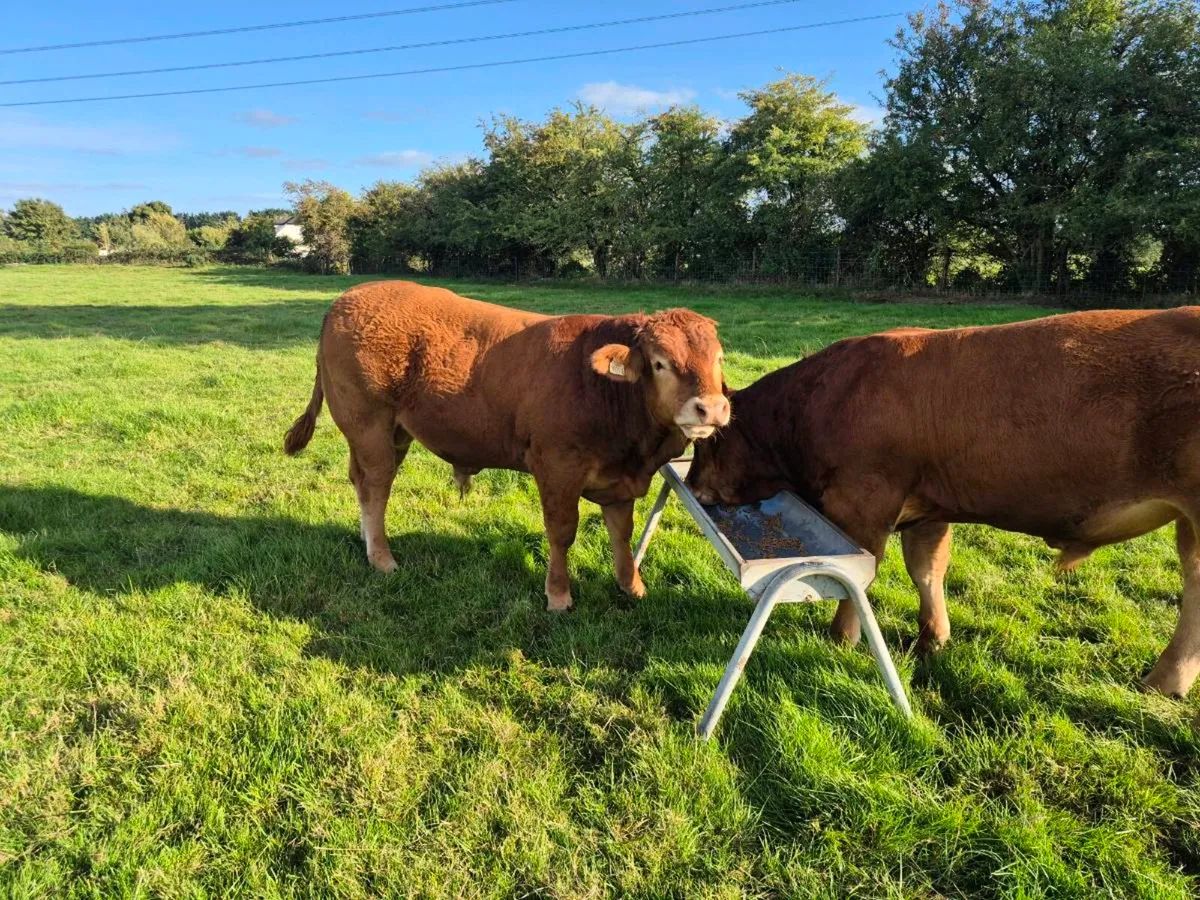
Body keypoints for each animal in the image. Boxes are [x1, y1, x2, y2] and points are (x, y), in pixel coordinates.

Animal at [284, 281, 729, 611]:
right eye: (659, 363)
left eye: (719, 359)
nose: (710, 408)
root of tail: (346, 299)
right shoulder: (557, 468)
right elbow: (562, 533)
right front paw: (558, 595)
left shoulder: (619, 480)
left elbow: (622, 532)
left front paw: (631, 586)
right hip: (368, 424)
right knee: (376, 486)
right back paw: (382, 557)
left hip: (394, 432)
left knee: (361, 482)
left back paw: (367, 542)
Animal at [686, 307, 1200, 698]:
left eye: (710, 442)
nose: (692, 485)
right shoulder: (927, 509)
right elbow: (927, 571)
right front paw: (934, 638)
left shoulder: (866, 501)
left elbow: (859, 576)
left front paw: (841, 639)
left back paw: (1164, 680)